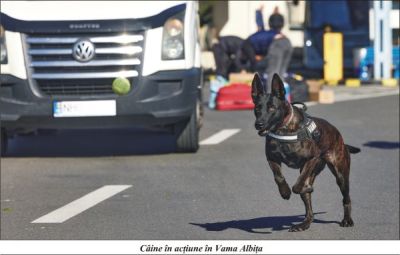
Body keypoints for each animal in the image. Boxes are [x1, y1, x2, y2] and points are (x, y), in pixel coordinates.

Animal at [252, 72, 360, 232]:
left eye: (272, 108)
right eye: (257, 108)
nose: (258, 124)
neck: (284, 129)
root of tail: (340, 138)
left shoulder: (311, 159)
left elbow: (299, 184)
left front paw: (297, 188)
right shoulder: (271, 158)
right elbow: (278, 177)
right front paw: (285, 191)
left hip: (340, 175)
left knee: (346, 198)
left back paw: (347, 220)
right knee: (309, 209)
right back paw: (304, 223)